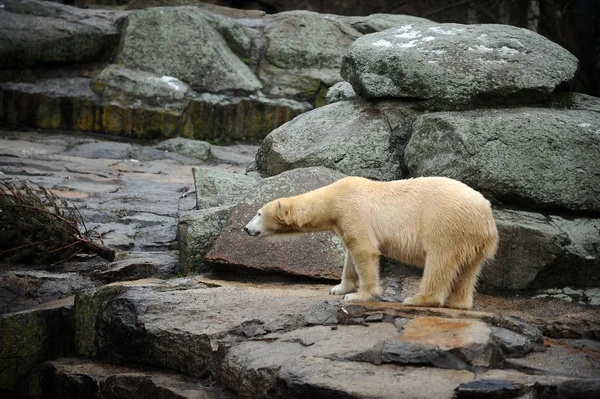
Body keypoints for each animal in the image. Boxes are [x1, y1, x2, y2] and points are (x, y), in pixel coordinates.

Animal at [243, 177, 496, 310]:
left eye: (258, 214)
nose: (245, 229)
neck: (333, 198)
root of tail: (486, 214)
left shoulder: (352, 210)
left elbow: (364, 251)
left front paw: (358, 296)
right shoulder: (342, 220)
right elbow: (349, 255)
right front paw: (338, 288)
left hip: (446, 226)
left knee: (439, 262)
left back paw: (418, 299)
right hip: (472, 239)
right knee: (468, 270)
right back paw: (459, 302)